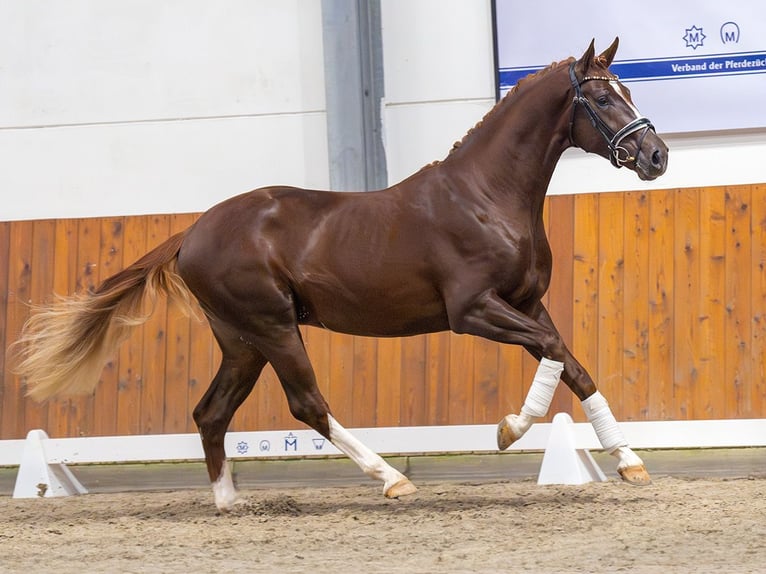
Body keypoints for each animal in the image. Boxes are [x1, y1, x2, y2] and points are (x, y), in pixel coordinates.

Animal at [15, 38, 668, 510]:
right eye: (603, 100)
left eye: (628, 90)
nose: (656, 156)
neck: (488, 196)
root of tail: (192, 233)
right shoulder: (474, 310)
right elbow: (556, 355)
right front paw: (509, 430)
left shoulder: (527, 304)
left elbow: (574, 366)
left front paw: (630, 463)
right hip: (274, 328)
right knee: (307, 404)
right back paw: (391, 481)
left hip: (242, 342)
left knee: (211, 412)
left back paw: (228, 503)